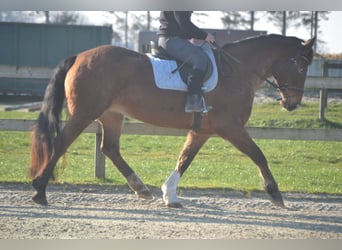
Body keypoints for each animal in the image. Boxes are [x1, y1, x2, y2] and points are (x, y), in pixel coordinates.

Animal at [30, 34, 316, 208]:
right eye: (302, 66)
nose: (292, 103)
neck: (237, 70)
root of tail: (79, 56)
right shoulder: (231, 128)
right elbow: (258, 155)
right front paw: (275, 193)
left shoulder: (203, 131)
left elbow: (185, 158)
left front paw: (170, 194)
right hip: (85, 113)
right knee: (61, 144)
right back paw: (39, 192)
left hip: (111, 115)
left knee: (109, 148)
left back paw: (141, 188)